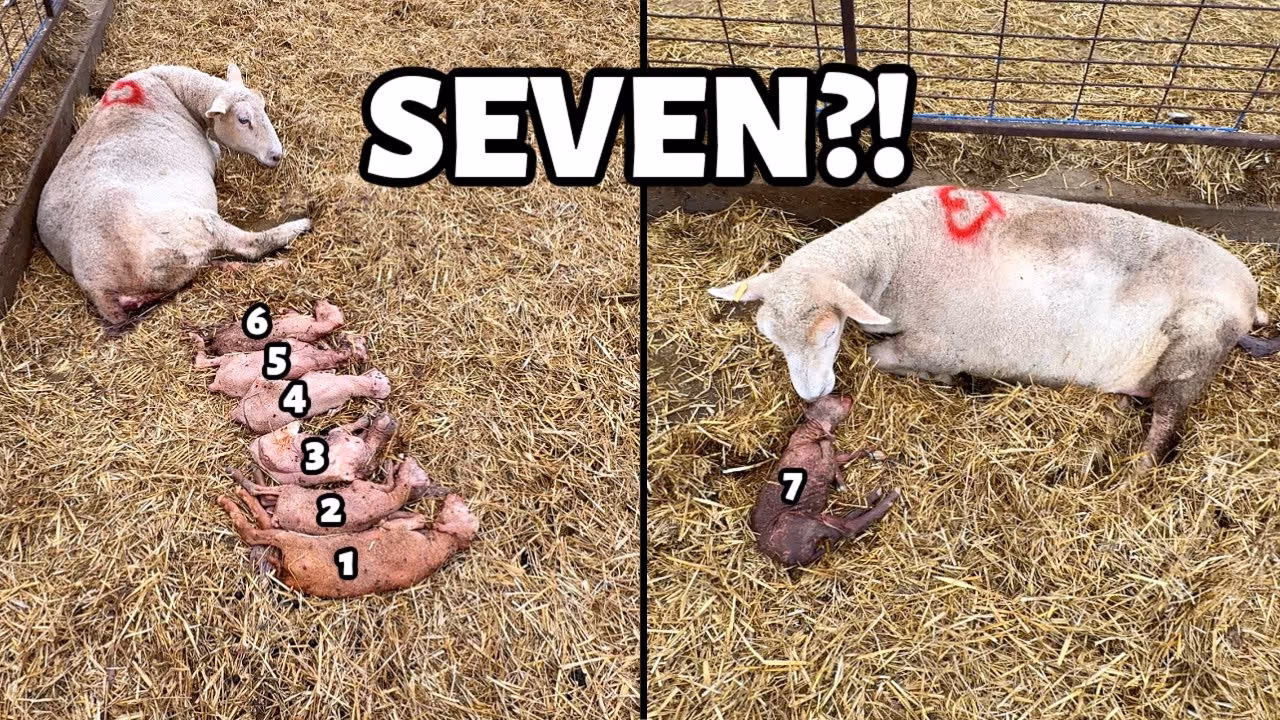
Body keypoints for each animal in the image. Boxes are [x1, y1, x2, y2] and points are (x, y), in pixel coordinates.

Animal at [36, 63, 311, 332]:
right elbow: (217, 150)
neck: (173, 91)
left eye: (263, 107)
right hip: (191, 225)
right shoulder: (211, 153)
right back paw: (296, 229)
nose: (276, 155)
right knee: (249, 245)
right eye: (244, 119)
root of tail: (99, 287)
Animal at [711, 185, 1279, 469]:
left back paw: (1137, 467)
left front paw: (956, 379)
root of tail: (1249, 297)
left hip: (1197, 342)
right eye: (772, 338)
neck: (893, 255)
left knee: (1168, 417)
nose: (811, 395)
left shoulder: (937, 344)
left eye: (828, 333)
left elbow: (881, 357)